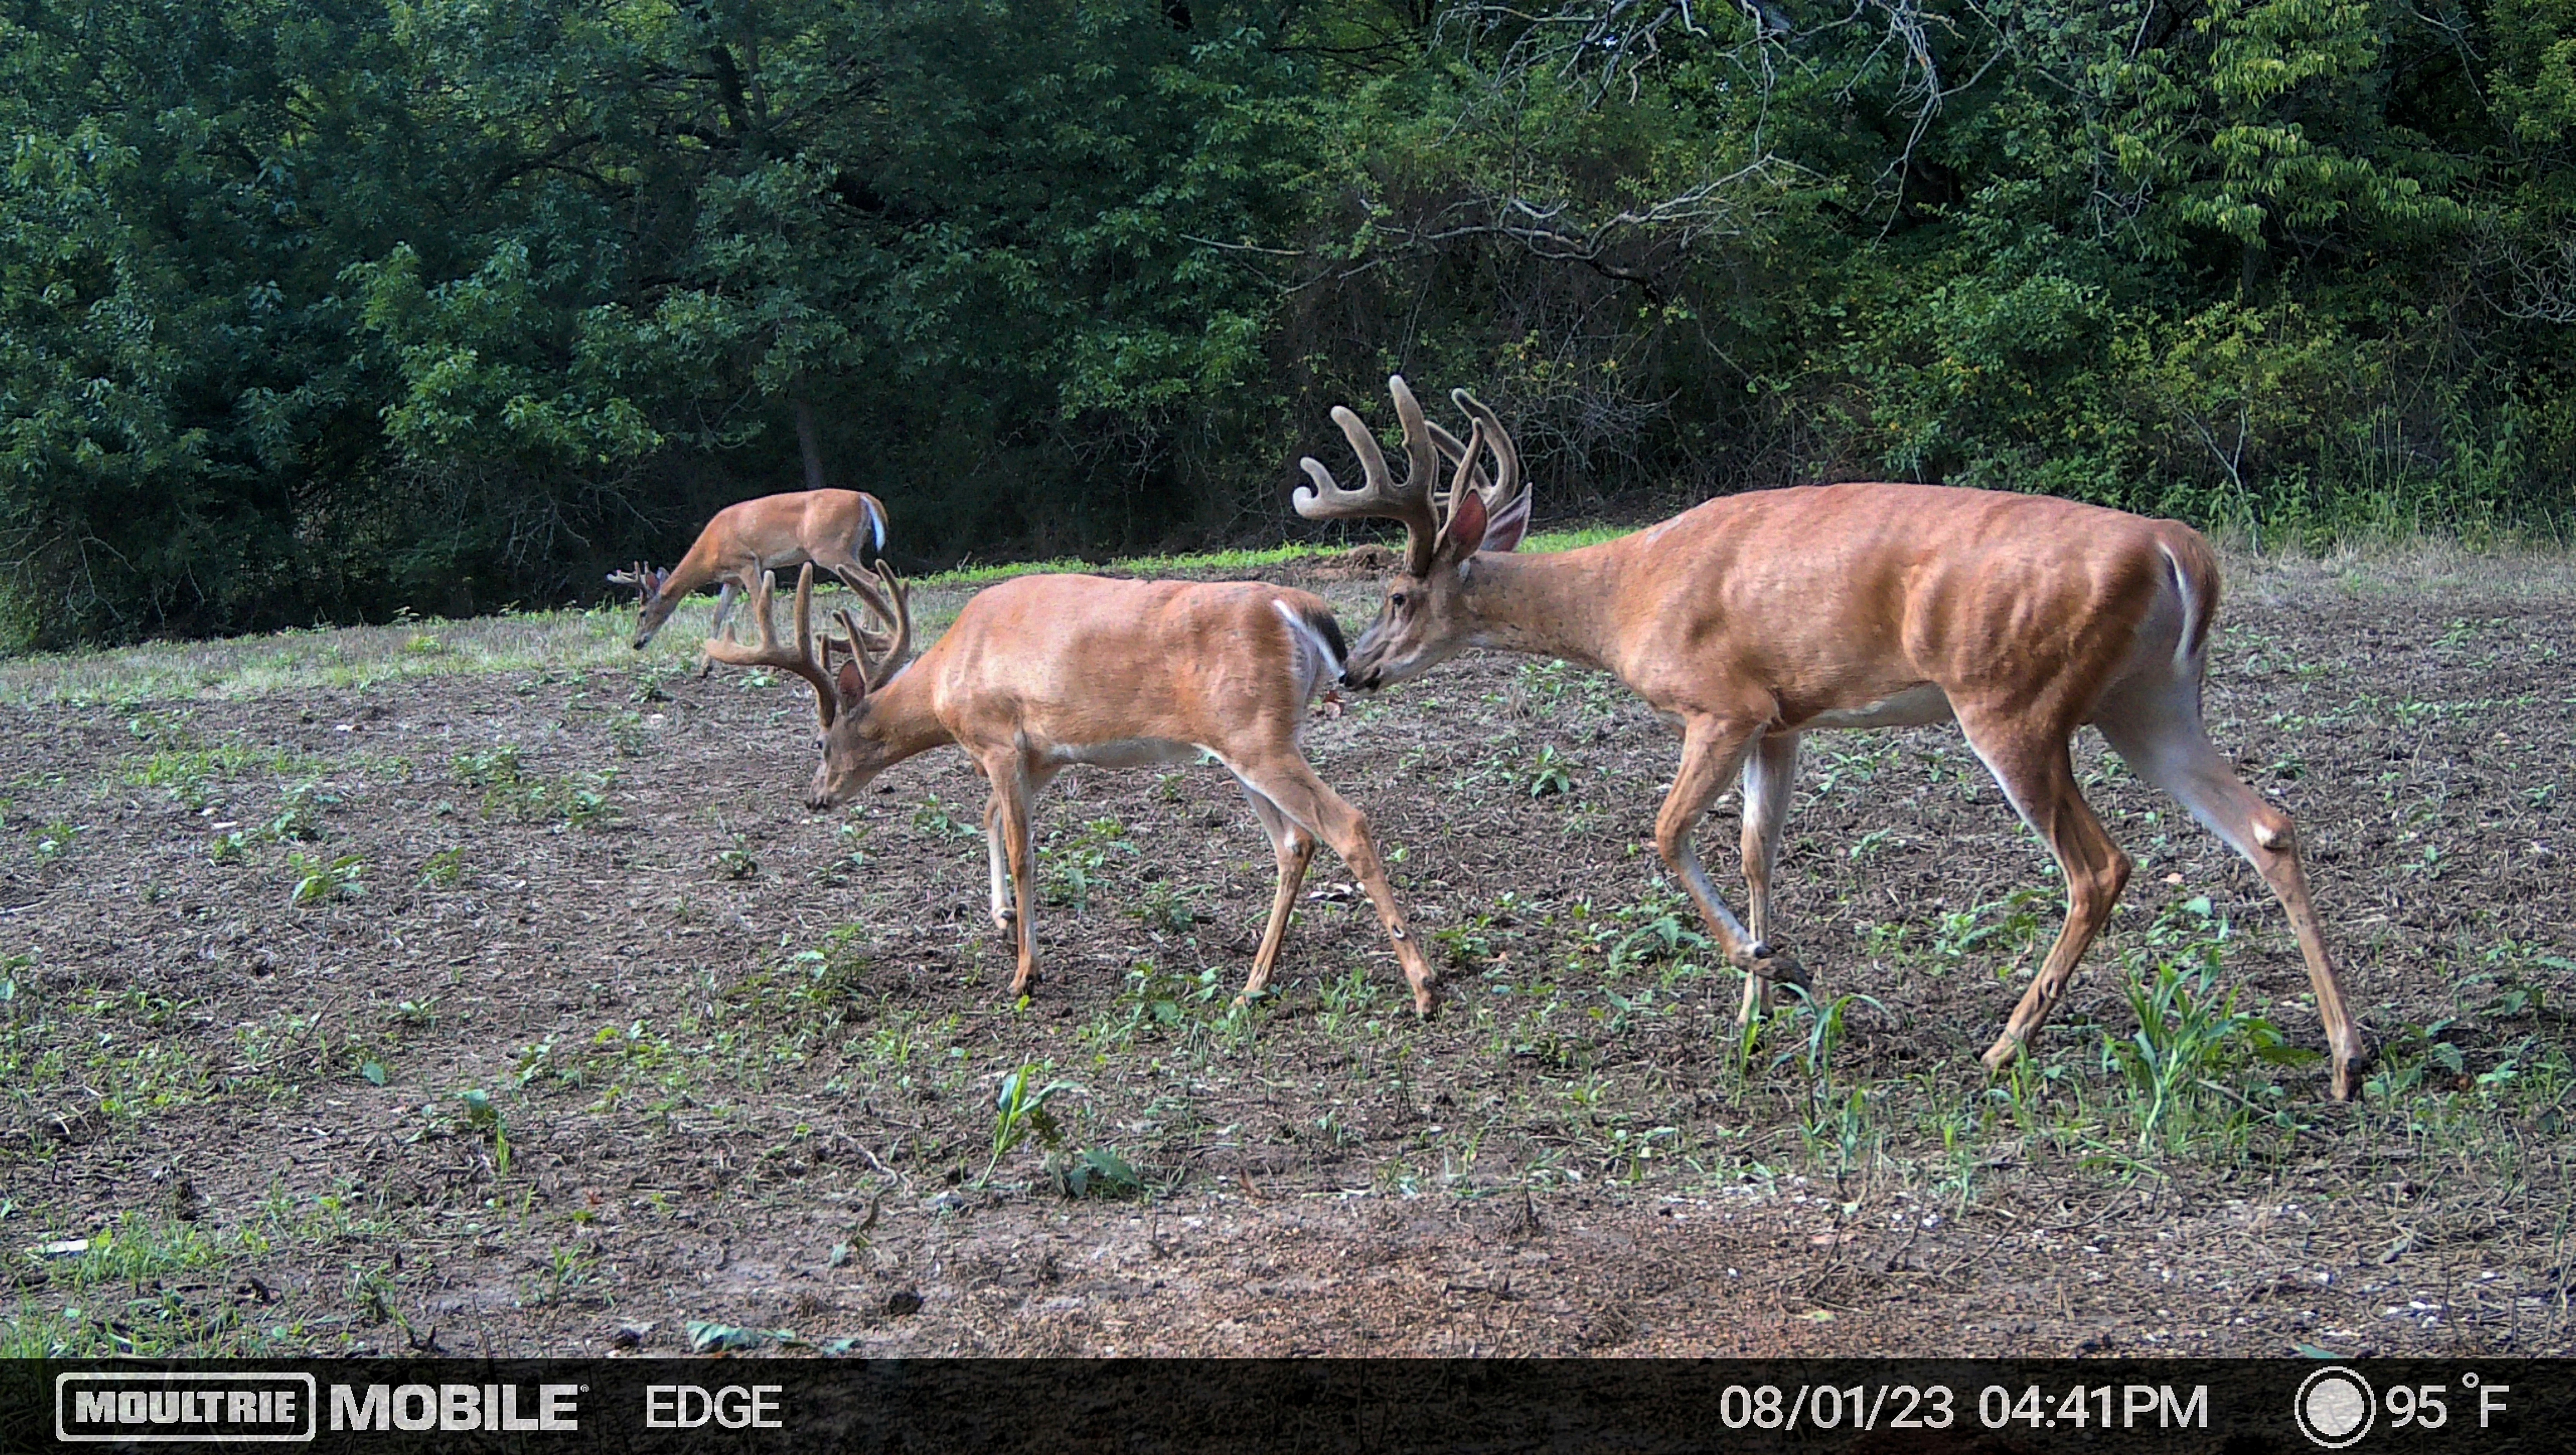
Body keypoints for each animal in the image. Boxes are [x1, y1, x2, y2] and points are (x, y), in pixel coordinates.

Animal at [608, 484, 891, 675]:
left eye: (642, 613)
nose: (636, 643)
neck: (710, 552)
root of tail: (864, 498)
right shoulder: (731, 578)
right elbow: (718, 615)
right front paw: (705, 667)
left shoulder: (747, 562)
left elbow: (759, 607)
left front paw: (771, 667)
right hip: (851, 546)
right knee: (870, 579)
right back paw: (870, 637)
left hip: (829, 547)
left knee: (872, 578)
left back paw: (869, 635)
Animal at [701, 561, 1453, 1014]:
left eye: (819, 742)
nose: (814, 797)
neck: (948, 676)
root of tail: (1298, 606)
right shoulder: (1046, 753)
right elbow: (988, 819)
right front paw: (1002, 918)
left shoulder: (999, 738)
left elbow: (1022, 848)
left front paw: (1024, 972)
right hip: (1246, 746)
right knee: (1295, 842)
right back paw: (1253, 981)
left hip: (1256, 735)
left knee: (1346, 821)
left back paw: (1422, 985)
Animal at [1298, 381, 2359, 1097]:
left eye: (1397, 595)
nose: (1355, 673)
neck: (1625, 596)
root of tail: (2182, 551)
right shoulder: (1781, 716)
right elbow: (1755, 848)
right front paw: (1754, 1009)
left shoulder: (1720, 702)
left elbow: (1667, 834)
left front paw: (1777, 968)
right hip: (2148, 701)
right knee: (2268, 822)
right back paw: (2349, 1054)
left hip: (2014, 699)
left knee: (2100, 866)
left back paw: (2005, 1044)